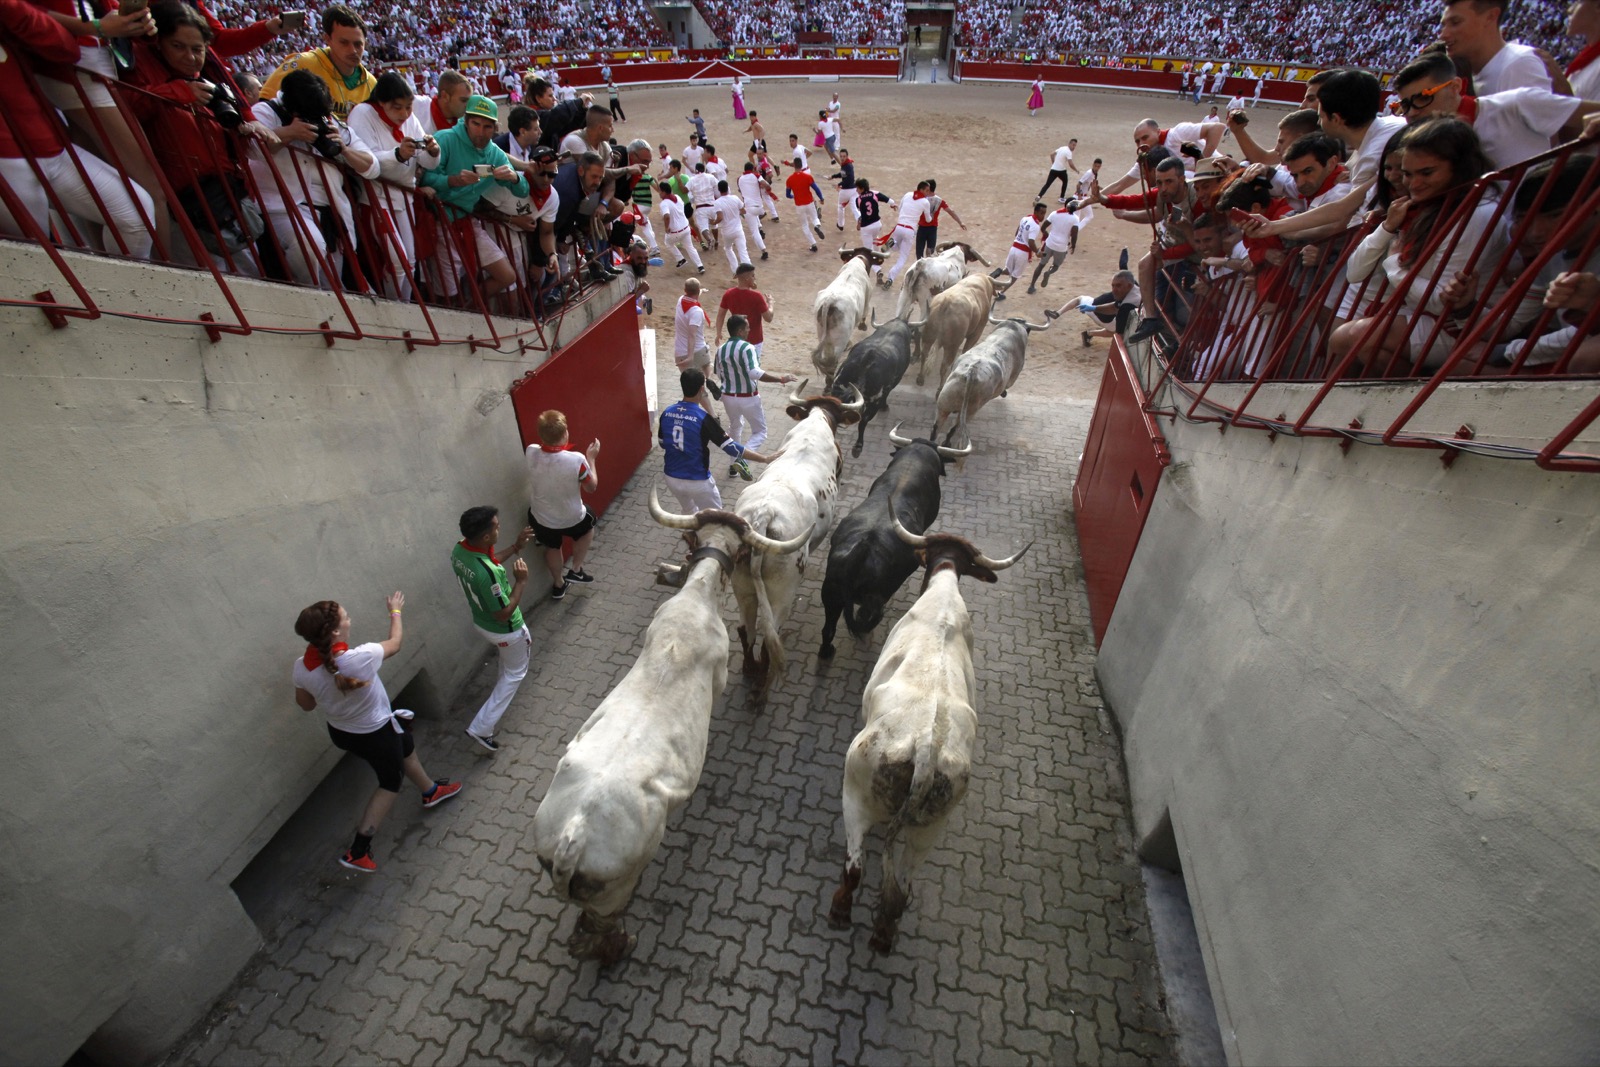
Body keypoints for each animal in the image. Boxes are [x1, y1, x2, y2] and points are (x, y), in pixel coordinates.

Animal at [812, 249, 889, 388]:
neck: (858, 260)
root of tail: (830, 302)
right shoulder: (868, 298)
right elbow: (865, 312)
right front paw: (862, 326)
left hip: (822, 333)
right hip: (839, 339)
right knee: (832, 360)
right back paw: (829, 383)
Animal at [934, 313, 1043, 447]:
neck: (1010, 330)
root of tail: (971, 372)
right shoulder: (1014, 375)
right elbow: (1007, 386)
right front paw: (1004, 393)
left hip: (944, 405)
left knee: (936, 427)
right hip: (970, 411)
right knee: (954, 428)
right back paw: (947, 443)